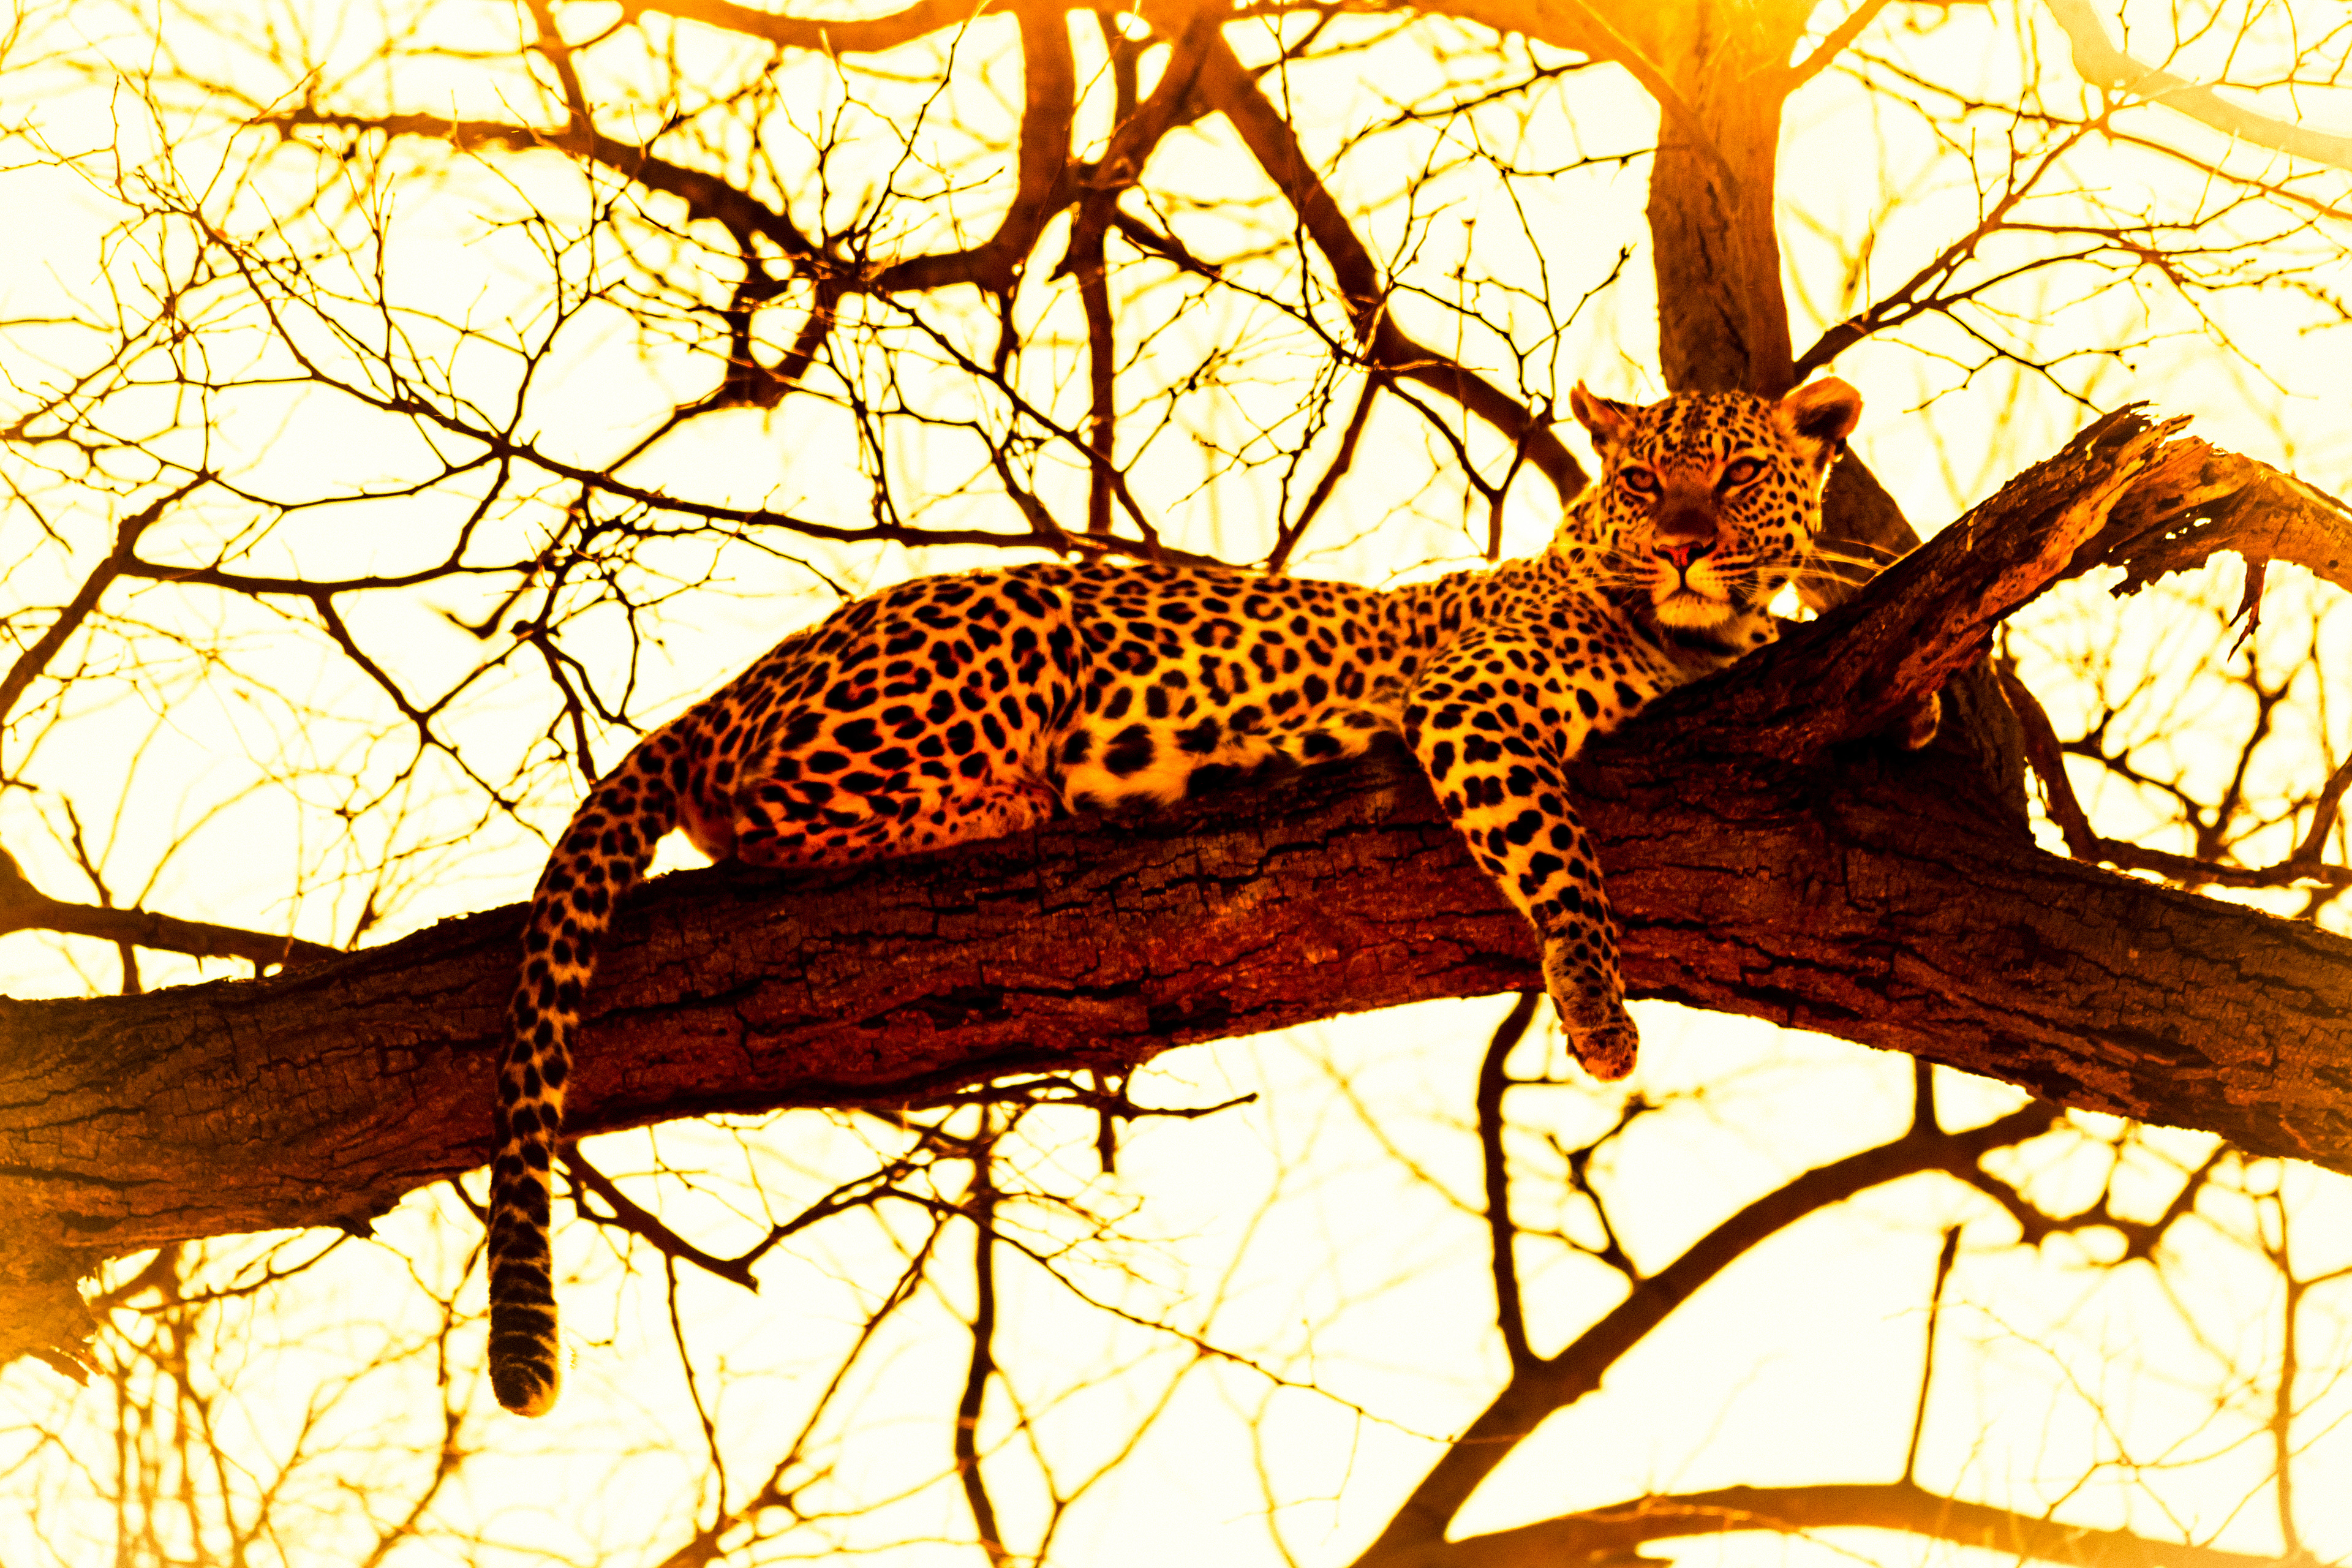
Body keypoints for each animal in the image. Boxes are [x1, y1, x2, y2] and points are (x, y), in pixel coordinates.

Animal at [485, 375, 1870, 1416]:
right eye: (1643, 482)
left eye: (1734, 478)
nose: (1683, 542)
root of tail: (739, 683)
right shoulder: (1474, 705)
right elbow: (1560, 855)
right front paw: (1595, 1006)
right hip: (995, 638)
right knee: (763, 814)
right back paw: (1025, 800)